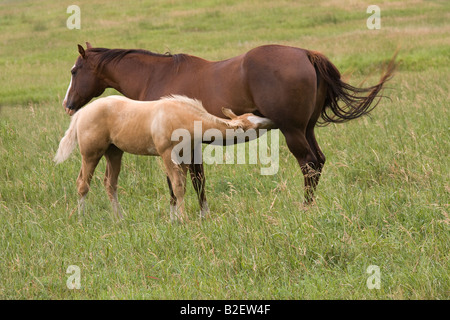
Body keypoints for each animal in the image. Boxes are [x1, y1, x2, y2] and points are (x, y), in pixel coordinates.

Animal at [55, 94, 276, 221]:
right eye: (253, 125)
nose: (271, 118)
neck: (182, 117)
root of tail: (82, 112)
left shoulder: (184, 156)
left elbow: (183, 185)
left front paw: (177, 218)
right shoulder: (167, 154)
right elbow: (177, 186)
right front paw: (183, 219)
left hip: (114, 152)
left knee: (110, 183)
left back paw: (119, 219)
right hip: (91, 153)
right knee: (83, 184)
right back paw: (82, 218)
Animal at [62, 43, 394, 210]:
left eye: (75, 71)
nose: (67, 104)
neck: (156, 76)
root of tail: (306, 54)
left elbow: (177, 183)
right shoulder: (190, 145)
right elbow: (198, 180)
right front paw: (202, 214)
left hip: (292, 132)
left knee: (309, 165)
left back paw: (306, 209)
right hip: (307, 129)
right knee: (319, 161)